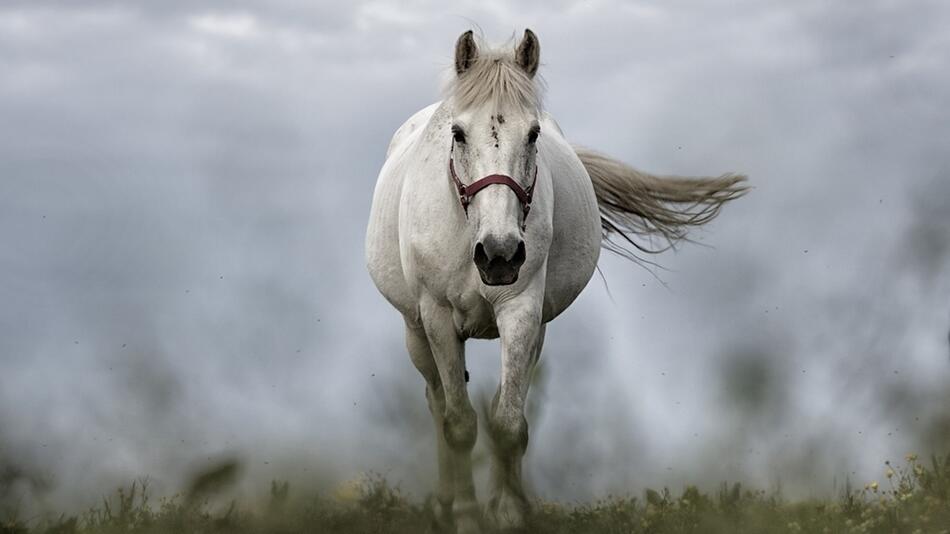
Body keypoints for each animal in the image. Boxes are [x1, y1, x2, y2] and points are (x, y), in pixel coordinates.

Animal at [368, 30, 748, 534]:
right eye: (458, 133)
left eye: (532, 134)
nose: (500, 254)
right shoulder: (438, 317)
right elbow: (459, 425)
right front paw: (466, 516)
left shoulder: (522, 311)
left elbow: (508, 423)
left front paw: (508, 513)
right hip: (416, 331)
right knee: (437, 404)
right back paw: (446, 504)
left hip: (536, 332)